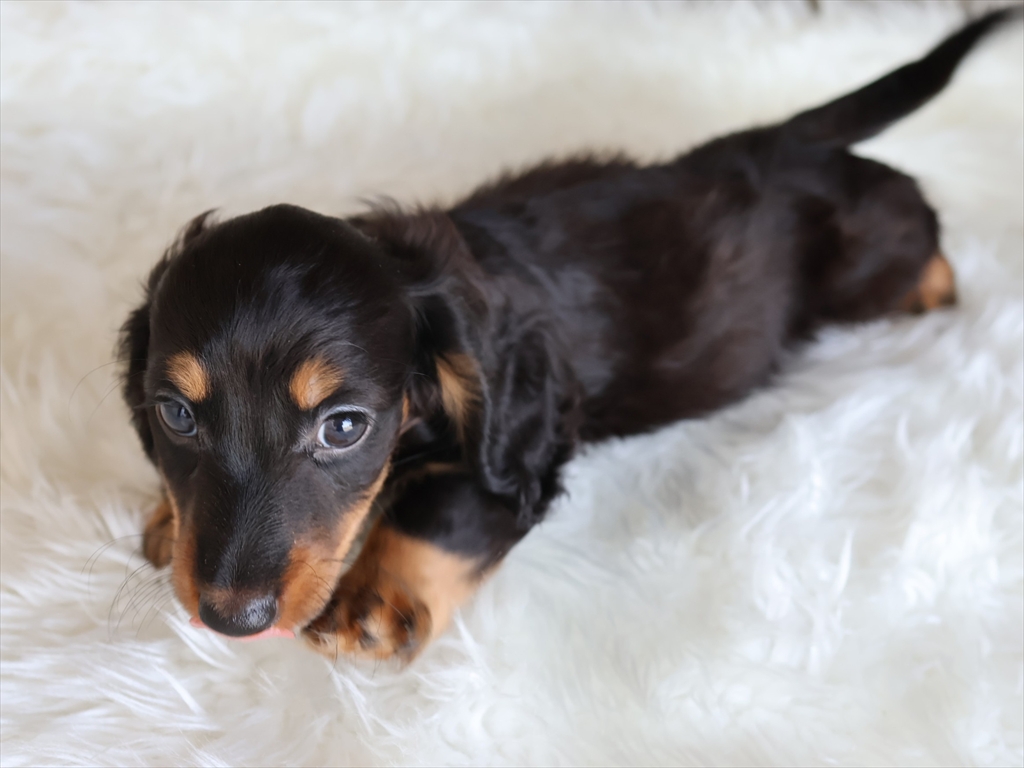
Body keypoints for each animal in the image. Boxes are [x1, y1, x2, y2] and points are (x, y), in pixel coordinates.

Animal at [120, 9, 1019, 661]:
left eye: (343, 427)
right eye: (177, 415)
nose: (230, 617)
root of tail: (764, 141)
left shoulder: (525, 445)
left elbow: (444, 507)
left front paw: (373, 601)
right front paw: (169, 518)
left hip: (865, 262)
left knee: (909, 210)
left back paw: (935, 280)